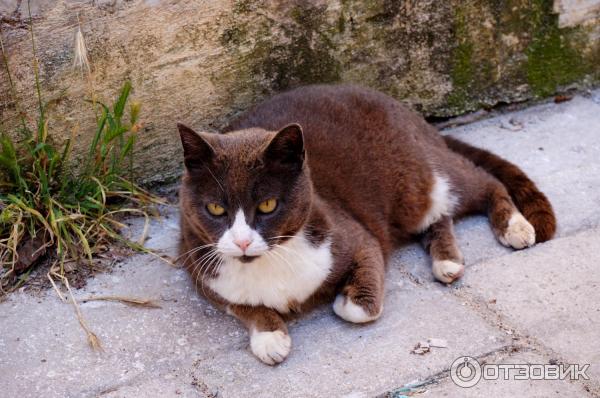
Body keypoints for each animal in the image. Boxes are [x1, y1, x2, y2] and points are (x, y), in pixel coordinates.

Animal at [176, 85, 556, 366]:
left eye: (268, 205)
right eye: (215, 208)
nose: (241, 242)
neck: (272, 261)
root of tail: (411, 113)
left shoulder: (355, 237)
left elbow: (358, 307)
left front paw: (341, 297)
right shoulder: (199, 265)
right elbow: (241, 304)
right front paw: (270, 337)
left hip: (421, 177)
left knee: (481, 183)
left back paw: (515, 227)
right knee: (439, 215)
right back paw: (448, 261)